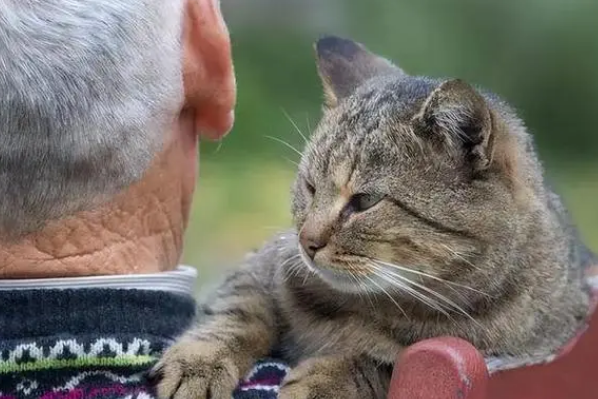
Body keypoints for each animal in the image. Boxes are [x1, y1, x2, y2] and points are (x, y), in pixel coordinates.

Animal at [154, 35, 596, 399]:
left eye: (365, 201)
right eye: (311, 187)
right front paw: (198, 362)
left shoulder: (502, 356)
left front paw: (327, 378)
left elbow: (385, 363)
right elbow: (238, 311)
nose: (307, 242)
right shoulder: (262, 264)